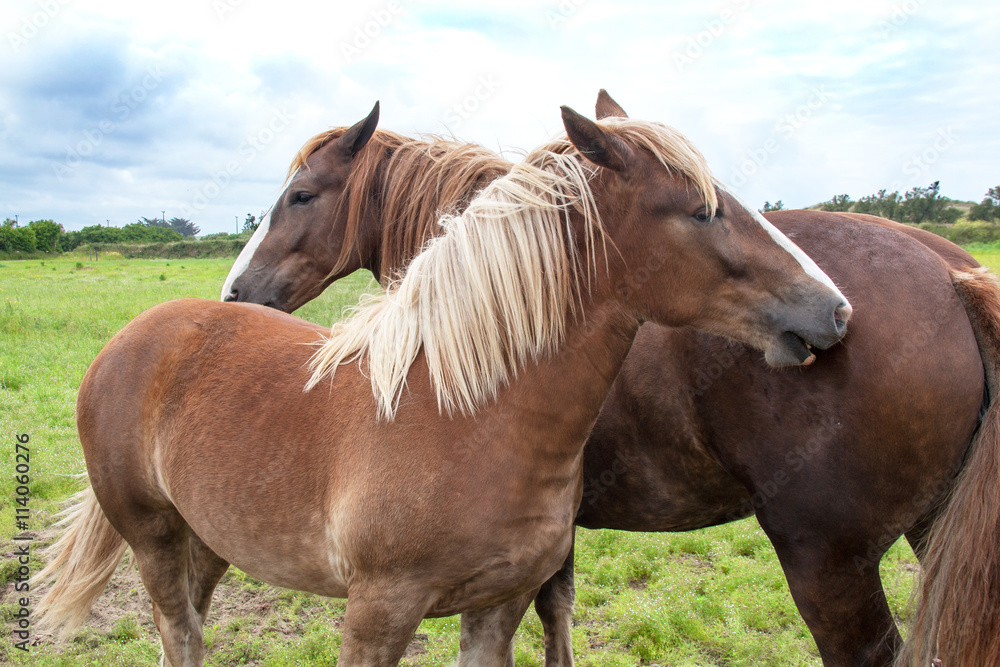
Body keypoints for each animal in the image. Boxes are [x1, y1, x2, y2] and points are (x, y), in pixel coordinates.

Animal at [31, 107, 848, 664]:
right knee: (181, 634)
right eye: (703, 210)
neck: (462, 413)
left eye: (302, 195)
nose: (834, 310)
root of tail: (134, 337)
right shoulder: (378, 612)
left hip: (207, 538)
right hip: (154, 539)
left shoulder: (498, 608)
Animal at [223, 94, 1000, 667]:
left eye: (301, 196)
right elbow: (557, 610)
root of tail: (951, 273)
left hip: (829, 562)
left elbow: (549, 612)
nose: (235, 294)